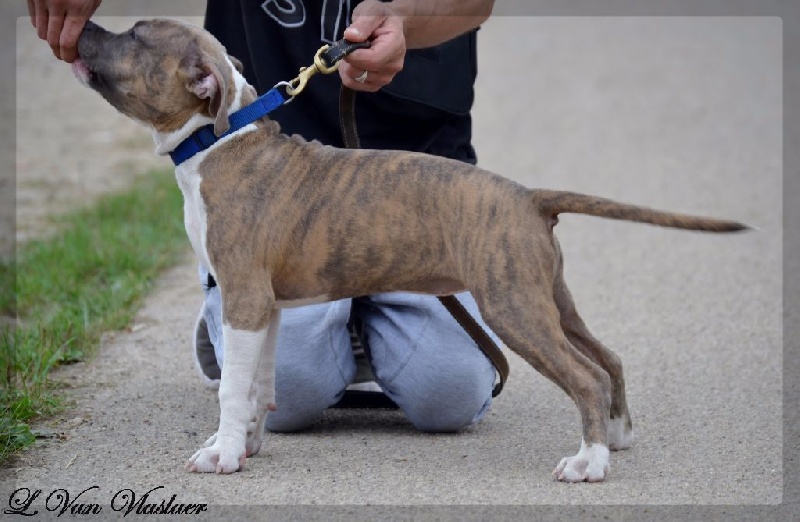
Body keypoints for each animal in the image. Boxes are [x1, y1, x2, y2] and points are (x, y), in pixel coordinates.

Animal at [70, 19, 747, 482]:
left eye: (134, 36)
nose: (84, 30)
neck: (218, 138)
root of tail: (528, 196)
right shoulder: (264, 306)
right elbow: (258, 382)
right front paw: (246, 445)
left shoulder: (242, 298)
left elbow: (231, 387)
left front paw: (222, 454)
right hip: (548, 297)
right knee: (606, 358)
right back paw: (617, 436)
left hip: (513, 308)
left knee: (583, 374)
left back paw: (589, 463)